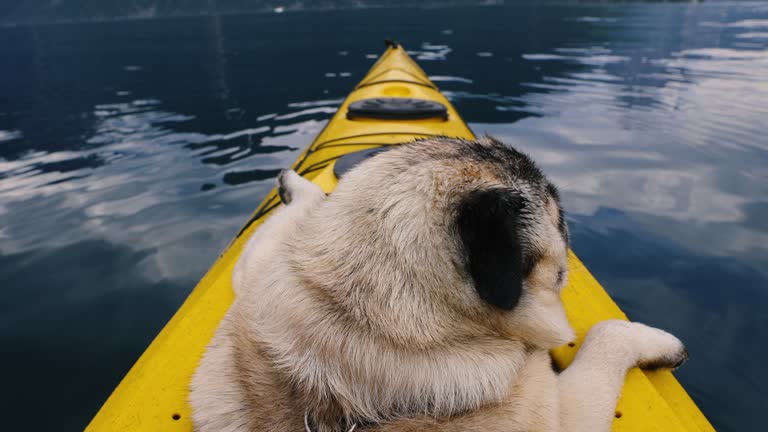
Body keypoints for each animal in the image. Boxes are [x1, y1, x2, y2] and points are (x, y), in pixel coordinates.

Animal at [189, 137, 688, 430]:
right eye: (556, 208)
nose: (567, 212)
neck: (369, 312)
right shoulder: (559, 415)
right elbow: (607, 337)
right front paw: (658, 344)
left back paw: (295, 186)